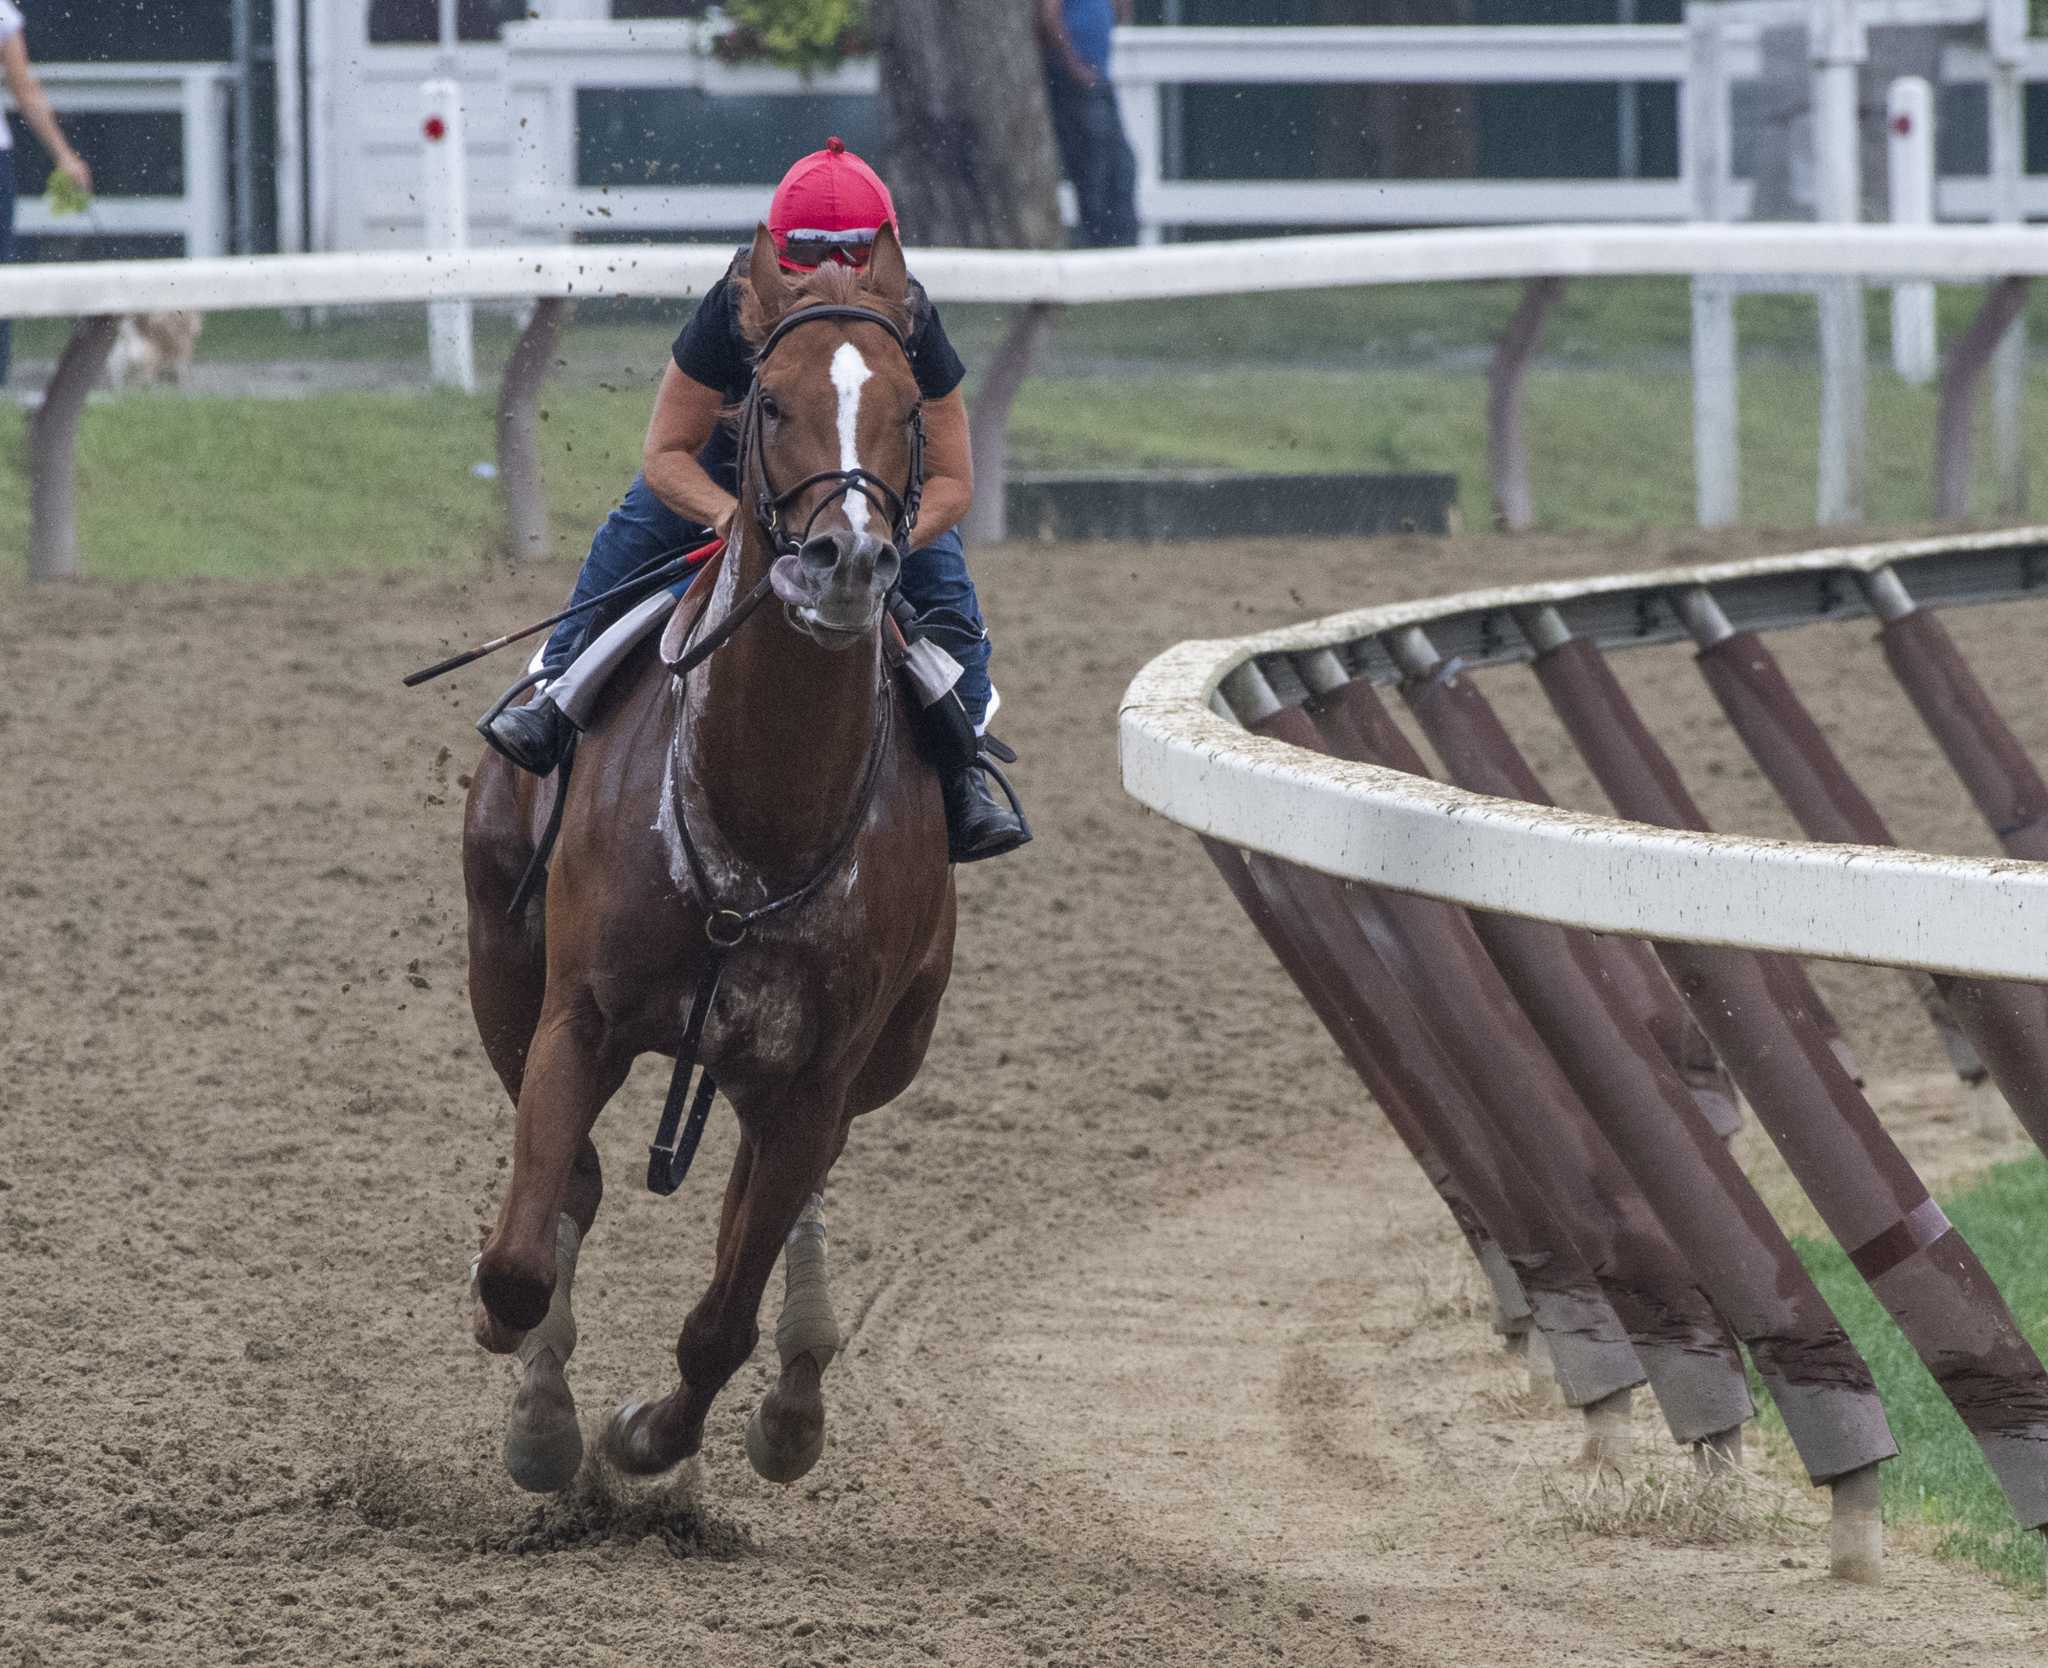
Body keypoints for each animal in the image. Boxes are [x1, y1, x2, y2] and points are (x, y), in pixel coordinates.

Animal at [460, 225, 954, 1499]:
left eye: (908, 410)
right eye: (767, 403)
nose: (846, 562)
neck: (761, 809)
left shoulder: (817, 1069)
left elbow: (720, 1319)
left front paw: (650, 1436)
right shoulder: (572, 1013)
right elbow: (523, 1254)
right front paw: (539, 1409)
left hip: (874, 1051)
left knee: (791, 1199)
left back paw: (795, 1394)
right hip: (499, 961)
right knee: (578, 1186)